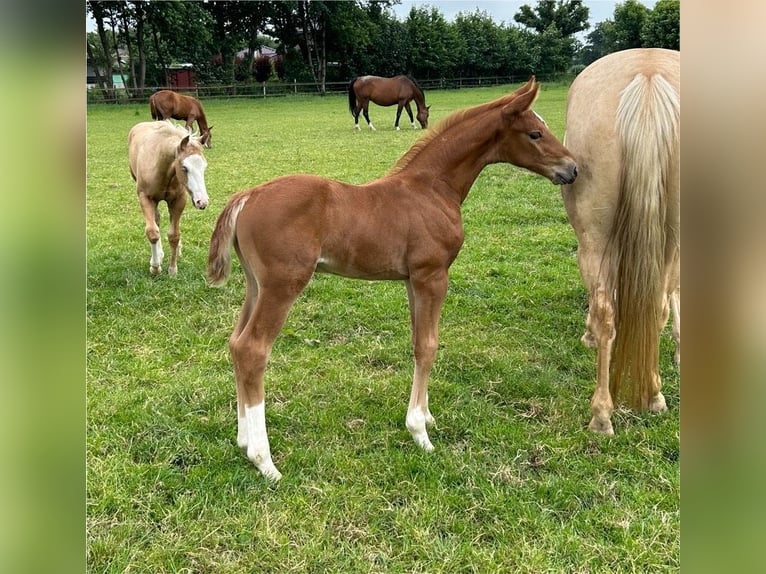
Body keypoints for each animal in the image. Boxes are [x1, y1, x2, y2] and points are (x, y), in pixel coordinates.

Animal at [130, 121, 210, 276]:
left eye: (204, 166)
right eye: (184, 167)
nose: (202, 201)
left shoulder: (179, 200)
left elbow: (174, 235)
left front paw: (172, 270)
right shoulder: (145, 198)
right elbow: (152, 232)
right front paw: (155, 267)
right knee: (156, 221)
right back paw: (159, 255)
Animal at [207, 77, 580, 482]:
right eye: (535, 133)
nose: (573, 168)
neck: (432, 189)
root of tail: (248, 195)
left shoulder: (411, 280)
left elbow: (418, 342)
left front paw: (427, 417)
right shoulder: (432, 276)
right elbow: (428, 345)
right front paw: (419, 432)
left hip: (255, 286)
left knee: (235, 343)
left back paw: (244, 440)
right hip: (283, 285)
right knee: (253, 349)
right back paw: (264, 460)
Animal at [560, 48, 680, 436]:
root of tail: (648, 76)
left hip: (598, 241)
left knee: (610, 312)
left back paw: (603, 414)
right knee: (650, 308)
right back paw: (649, 397)